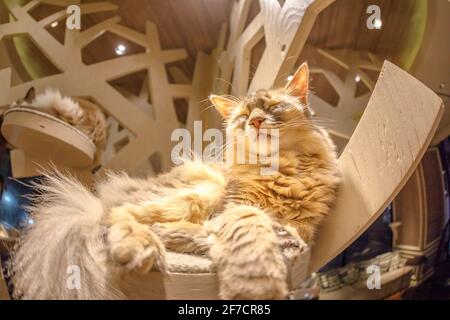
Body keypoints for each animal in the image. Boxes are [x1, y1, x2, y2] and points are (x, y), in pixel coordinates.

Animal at [10, 63, 340, 300]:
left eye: (272, 108)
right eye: (243, 117)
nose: (256, 121)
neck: (282, 170)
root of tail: (97, 197)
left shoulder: (304, 226)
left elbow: (282, 231)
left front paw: (283, 240)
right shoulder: (235, 206)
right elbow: (251, 230)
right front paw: (256, 285)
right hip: (202, 188)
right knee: (114, 217)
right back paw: (142, 245)